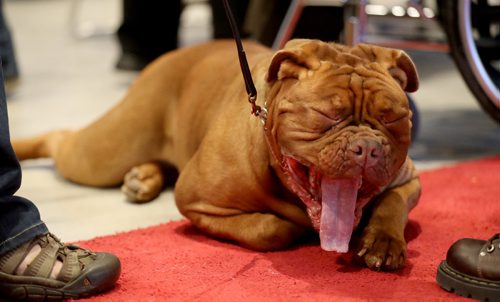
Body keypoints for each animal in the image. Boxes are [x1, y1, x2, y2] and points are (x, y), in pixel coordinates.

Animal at [11, 39, 420, 270]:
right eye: (328, 115)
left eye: (393, 118)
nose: (368, 147)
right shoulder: (196, 199)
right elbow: (271, 228)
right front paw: (289, 226)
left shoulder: (409, 178)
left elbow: (392, 203)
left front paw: (382, 242)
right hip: (103, 151)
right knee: (59, 138)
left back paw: (143, 178)